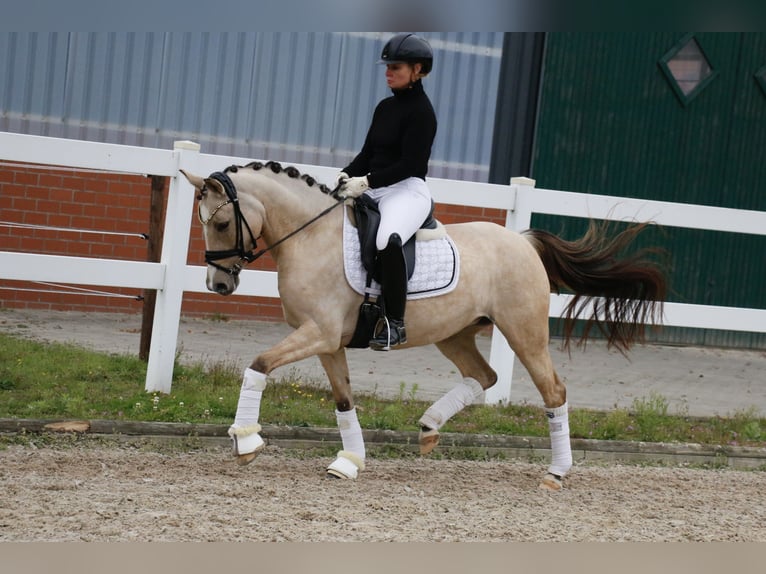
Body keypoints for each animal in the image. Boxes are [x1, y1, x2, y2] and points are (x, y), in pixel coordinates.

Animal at [182, 161, 664, 490]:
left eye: (221, 222)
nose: (218, 284)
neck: (310, 237)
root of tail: (522, 240)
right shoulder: (327, 341)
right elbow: (343, 401)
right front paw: (349, 461)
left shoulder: (318, 333)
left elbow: (259, 365)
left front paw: (245, 442)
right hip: (454, 333)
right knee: (484, 375)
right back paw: (430, 427)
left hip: (524, 334)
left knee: (553, 392)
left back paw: (556, 473)